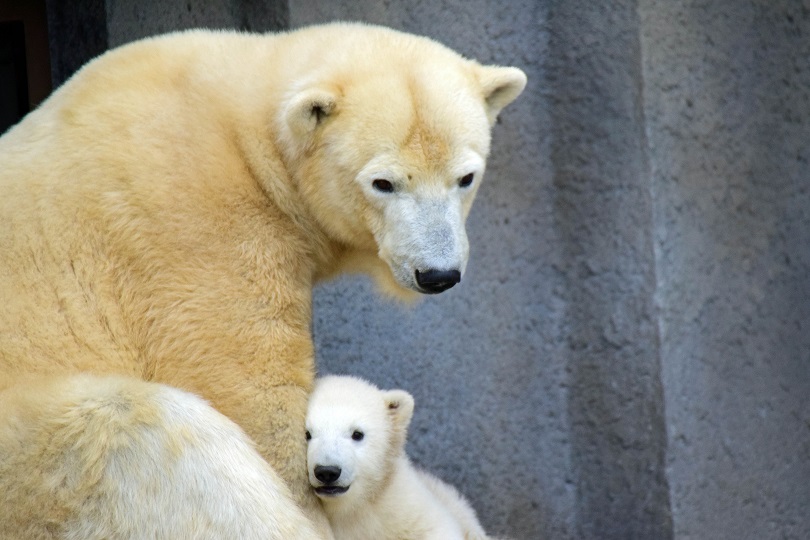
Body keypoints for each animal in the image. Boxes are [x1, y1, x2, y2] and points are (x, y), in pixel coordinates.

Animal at [0, 22, 524, 540]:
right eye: (383, 183)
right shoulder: (196, 225)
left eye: (466, 177)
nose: (438, 274)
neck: (244, 128)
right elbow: (245, 386)